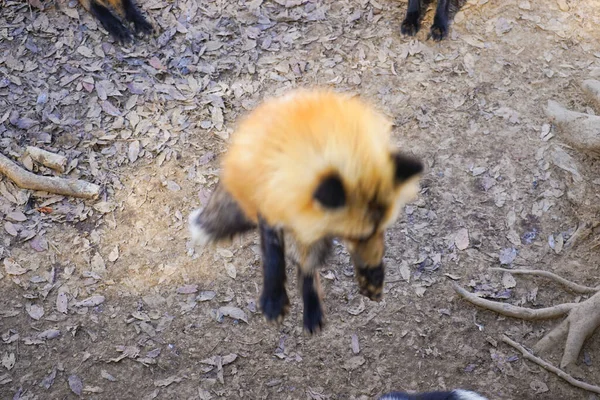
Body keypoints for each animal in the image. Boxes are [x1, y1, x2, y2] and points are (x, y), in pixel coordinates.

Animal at [188, 88, 422, 334]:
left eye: (383, 229)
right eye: (355, 236)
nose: (374, 270)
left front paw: (371, 278)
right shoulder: (272, 207)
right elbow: (273, 259)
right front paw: (274, 300)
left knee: (307, 268)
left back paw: (313, 310)